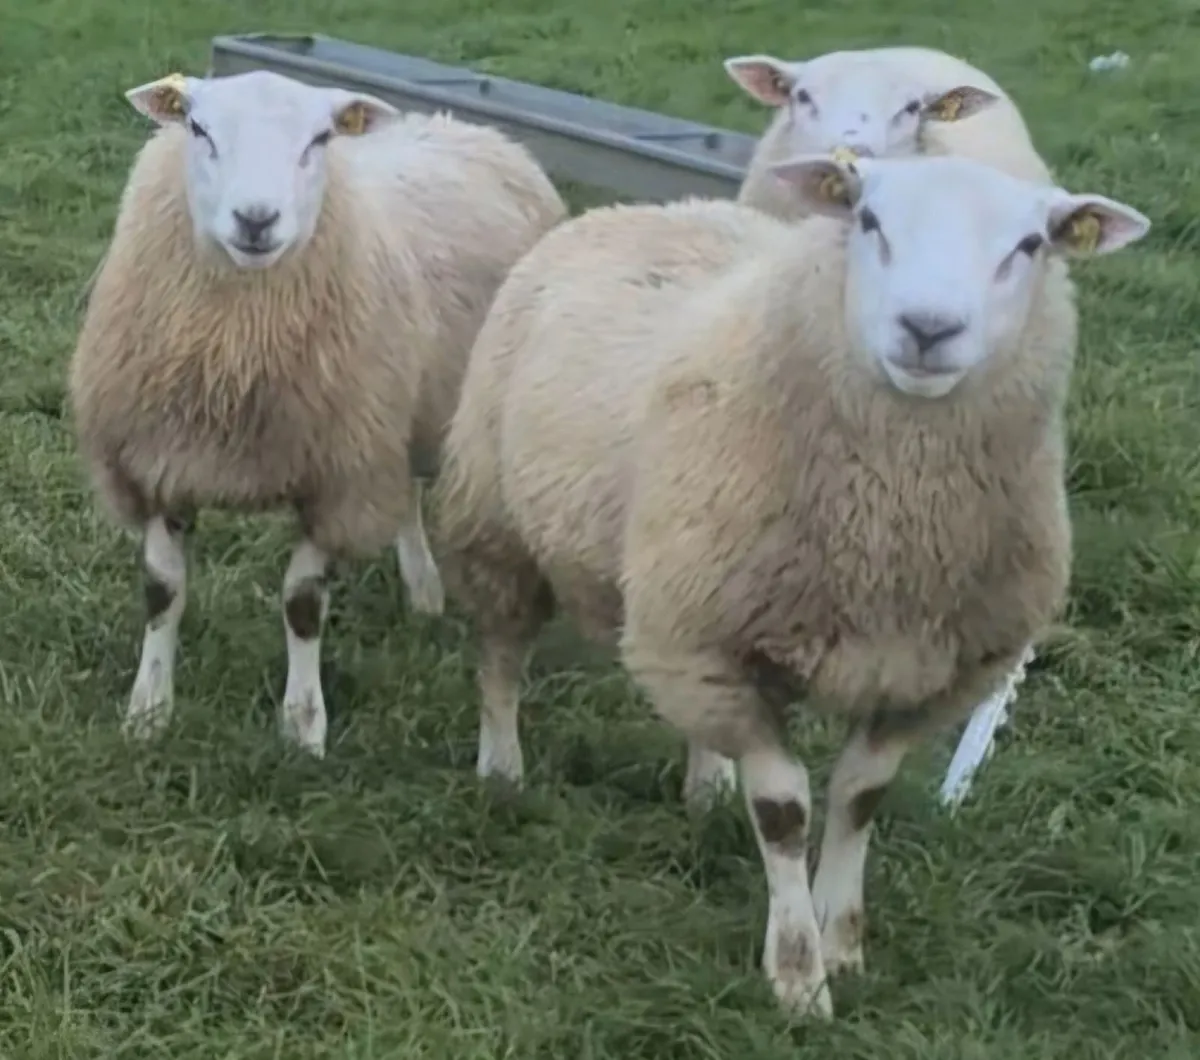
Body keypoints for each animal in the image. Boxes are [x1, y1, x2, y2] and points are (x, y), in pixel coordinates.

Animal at [68, 69, 567, 757]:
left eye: (321, 138)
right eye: (198, 128)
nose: (256, 219)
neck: (235, 359)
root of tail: (464, 126)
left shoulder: (336, 476)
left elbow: (302, 606)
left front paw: (303, 726)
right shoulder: (162, 459)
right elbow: (162, 593)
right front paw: (149, 710)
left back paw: (426, 589)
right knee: (405, 493)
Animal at [432, 151, 1150, 1015]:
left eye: (1031, 244)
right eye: (868, 219)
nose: (928, 329)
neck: (891, 528)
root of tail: (662, 207)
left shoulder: (923, 673)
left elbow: (859, 797)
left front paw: (843, 942)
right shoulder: (722, 642)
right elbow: (784, 812)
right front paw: (800, 980)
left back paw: (706, 787)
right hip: (497, 522)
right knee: (502, 655)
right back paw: (502, 771)